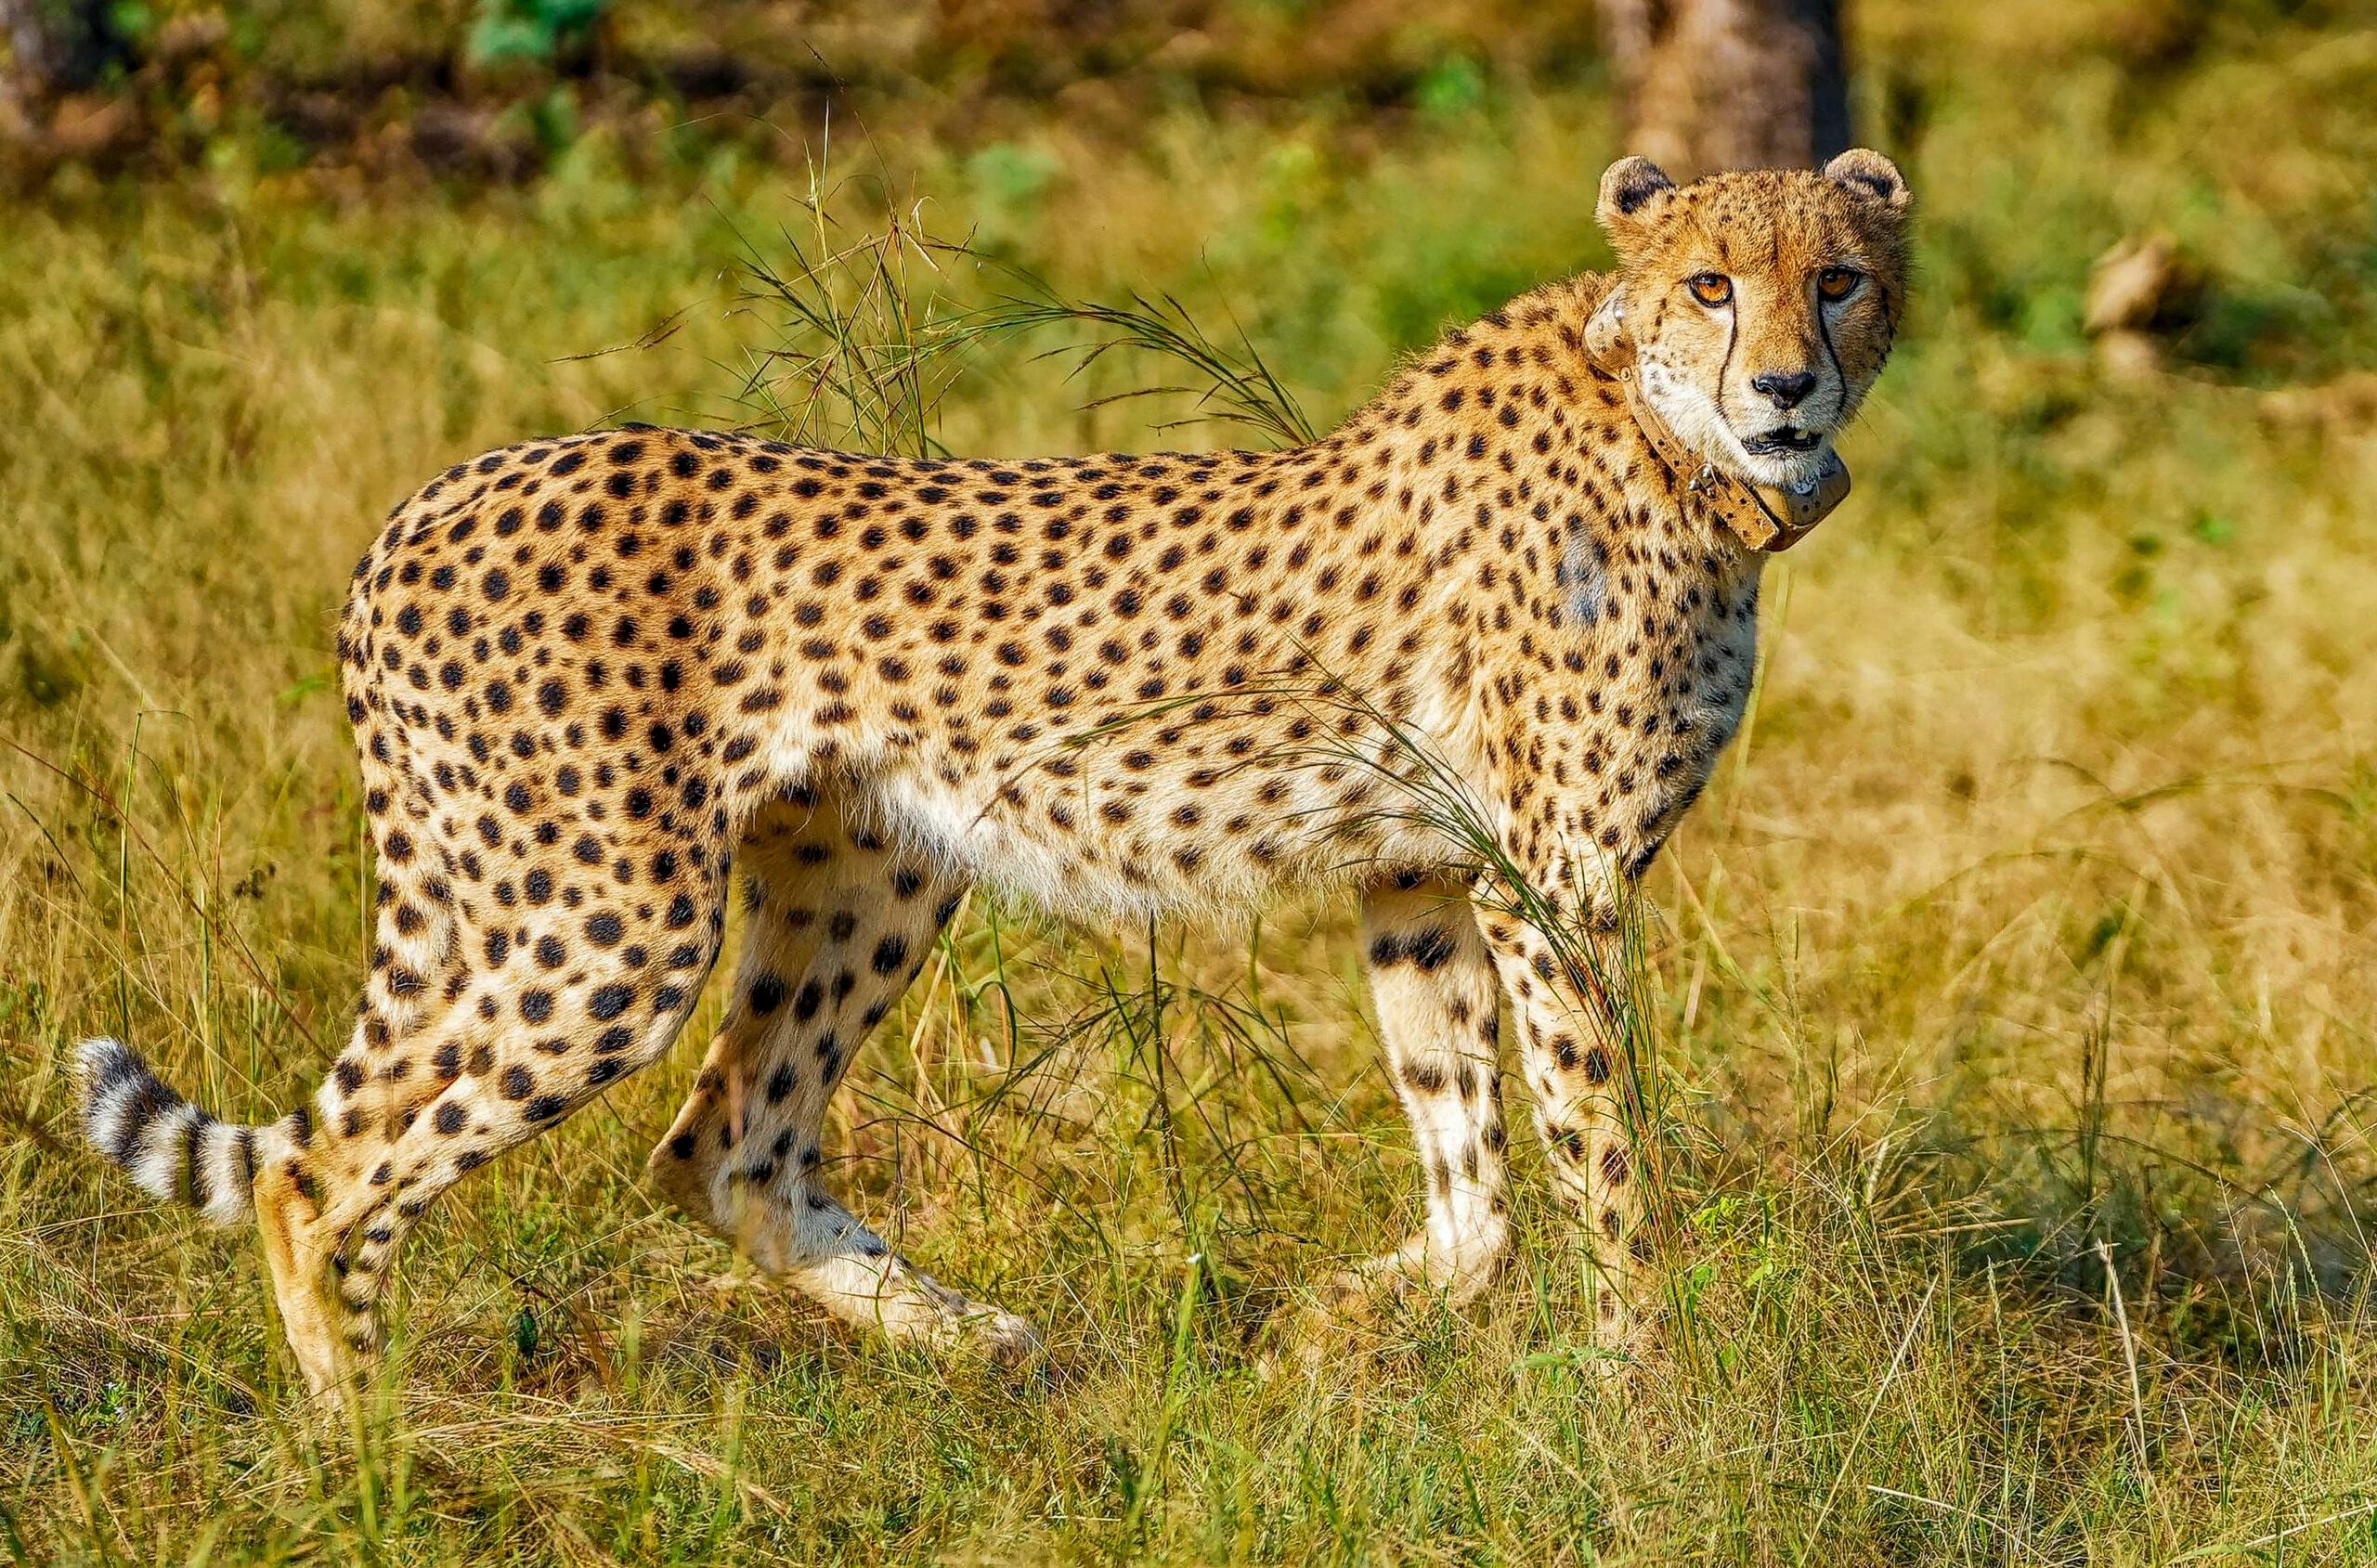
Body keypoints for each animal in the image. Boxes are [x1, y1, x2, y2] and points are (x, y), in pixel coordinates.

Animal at [75, 149, 1911, 1398]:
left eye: (1837, 279)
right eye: (1712, 285)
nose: (1786, 383)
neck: (1670, 440)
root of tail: (437, 493)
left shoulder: (1422, 870)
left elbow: (1477, 1185)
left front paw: (1334, 1323)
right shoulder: (1556, 885)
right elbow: (1606, 1158)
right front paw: (1650, 1392)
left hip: (867, 868)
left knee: (722, 1143)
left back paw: (978, 1336)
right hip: (608, 921)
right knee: (327, 1172)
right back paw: (367, 1438)